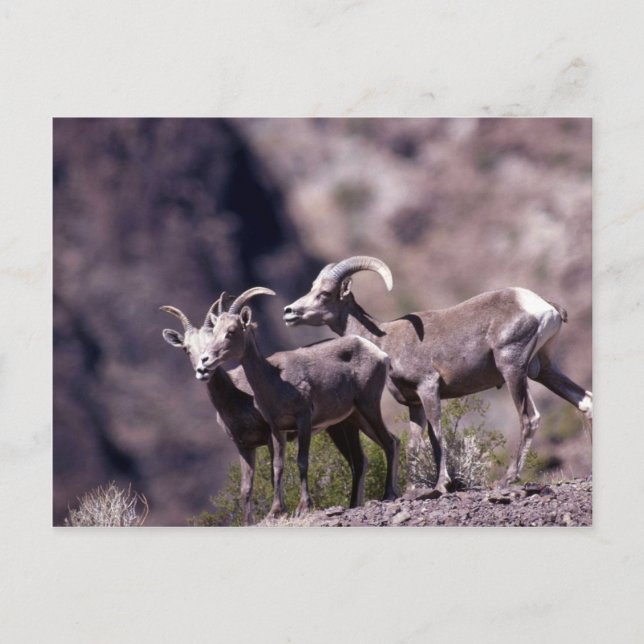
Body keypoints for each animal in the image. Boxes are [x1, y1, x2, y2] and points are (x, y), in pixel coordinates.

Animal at [161, 294, 370, 524]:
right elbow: (246, 488)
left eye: (212, 340)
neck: (238, 398)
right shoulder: (243, 445)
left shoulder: (271, 434)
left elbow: (274, 471)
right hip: (341, 426)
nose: (202, 369)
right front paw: (249, 522)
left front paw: (279, 511)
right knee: (358, 460)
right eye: (186, 348)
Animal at [198, 287, 400, 517]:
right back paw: (354, 504)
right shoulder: (277, 429)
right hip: (353, 419)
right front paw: (275, 511)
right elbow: (277, 466)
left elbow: (302, 461)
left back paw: (389, 494)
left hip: (369, 406)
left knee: (389, 442)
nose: (205, 360)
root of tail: (378, 353)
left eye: (231, 331)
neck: (275, 380)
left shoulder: (303, 420)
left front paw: (303, 506)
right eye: (214, 332)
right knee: (368, 455)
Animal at [283, 255, 593, 492]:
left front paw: (441, 484)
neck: (385, 341)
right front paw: (411, 489)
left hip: (513, 369)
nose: (289, 312)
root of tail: (543, 306)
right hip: (544, 370)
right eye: (312, 288)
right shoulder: (414, 404)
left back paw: (508, 479)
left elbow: (436, 436)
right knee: (585, 401)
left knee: (530, 417)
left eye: (324, 294)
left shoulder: (429, 389)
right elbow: (414, 444)